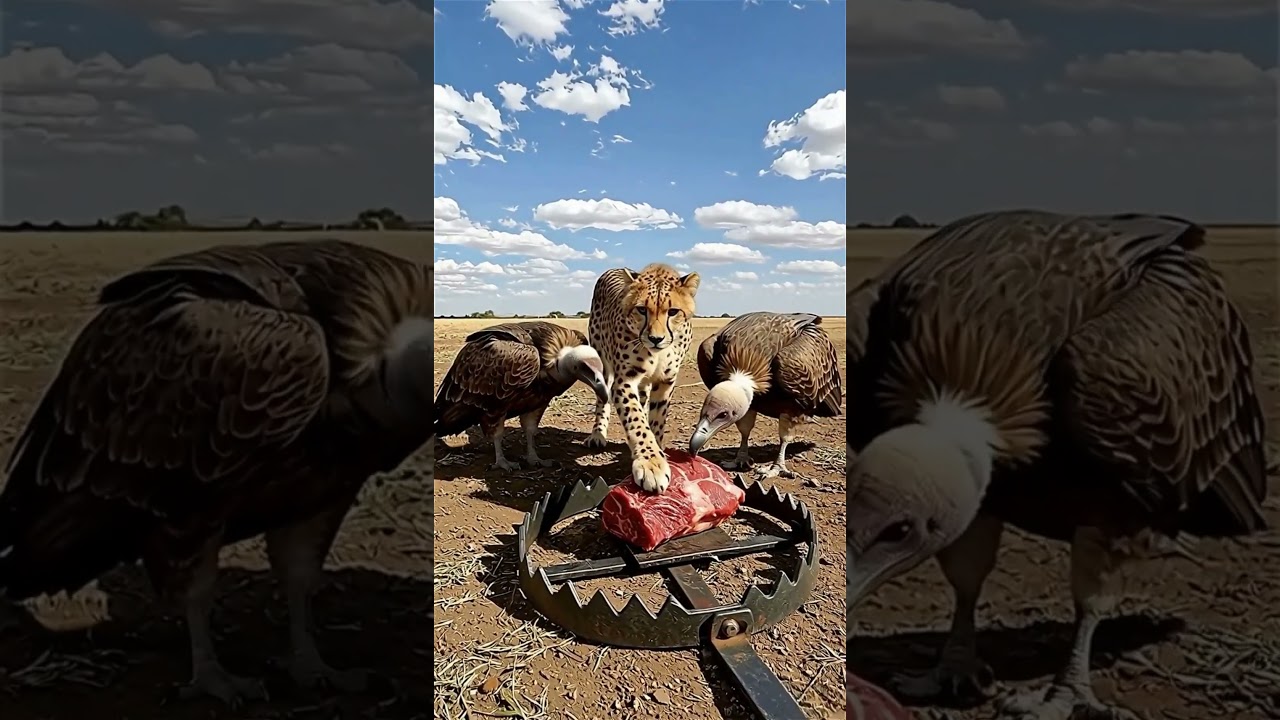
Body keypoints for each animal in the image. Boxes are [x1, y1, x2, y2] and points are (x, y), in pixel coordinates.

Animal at [584, 263, 700, 493]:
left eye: (673, 312)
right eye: (641, 310)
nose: (656, 339)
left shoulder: (665, 383)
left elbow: (656, 421)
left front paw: (658, 451)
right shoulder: (624, 381)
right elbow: (636, 420)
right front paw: (651, 462)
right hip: (602, 361)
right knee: (603, 399)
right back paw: (598, 434)